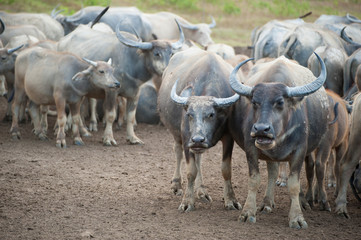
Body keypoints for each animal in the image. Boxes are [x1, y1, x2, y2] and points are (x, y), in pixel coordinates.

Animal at [158, 47, 240, 211]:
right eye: (189, 114)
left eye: (211, 114)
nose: (197, 139)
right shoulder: (186, 139)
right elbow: (191, 171)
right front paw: (187, 201)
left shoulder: (228, 138)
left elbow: (226, 170)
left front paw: (230, 200)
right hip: (176, 134)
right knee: (177, 152)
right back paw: (176, 185)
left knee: (199, 159)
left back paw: (202, 191)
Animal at [229, 53, 328, 229]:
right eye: (254, 102)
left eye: (280, 102)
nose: (261, 129)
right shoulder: (251, 149)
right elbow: (254, 180)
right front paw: (248, 213)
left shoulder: (299, 151)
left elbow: (294, 184)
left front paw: (297, 218)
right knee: (273, 172)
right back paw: (267, 203)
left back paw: (303, 202)